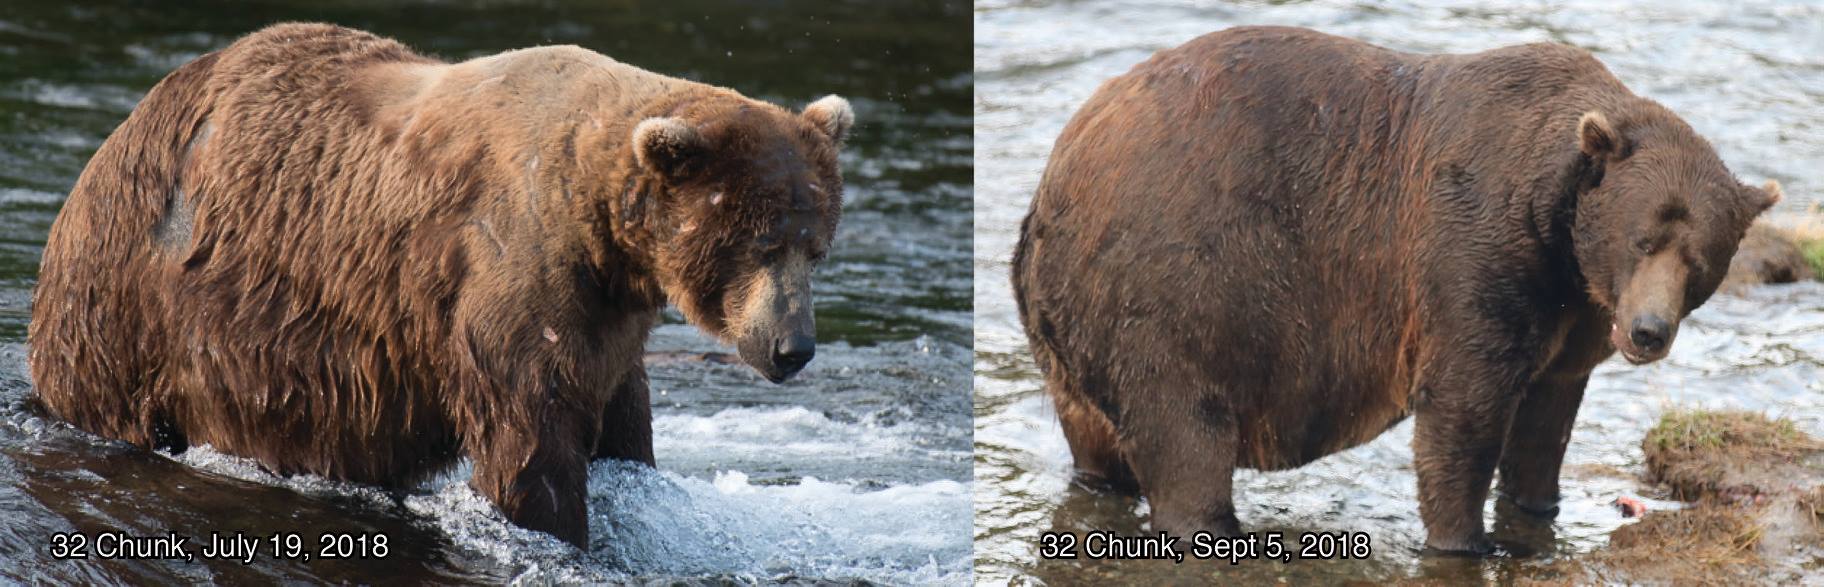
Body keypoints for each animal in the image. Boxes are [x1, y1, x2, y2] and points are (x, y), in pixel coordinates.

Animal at [26, 21, 853, 546]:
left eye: (816, 246)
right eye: (761, 243)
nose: (793, 346)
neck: (599, 227)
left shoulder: (608, 312)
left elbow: (621, 421)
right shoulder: (512, 272)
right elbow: (531, 439)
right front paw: (555, 524)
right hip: (132, 302)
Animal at [1014, 25, 1780, 554]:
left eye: (1700, 259)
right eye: (1642, 238)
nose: (1649, 331)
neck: (1559, 240)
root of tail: (1058, 171)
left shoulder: (1570, 320)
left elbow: (1546, 419)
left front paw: (1536, 509)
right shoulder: (1473, 258)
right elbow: (1464, 410)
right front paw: (1466, 539)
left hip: (1072, 333)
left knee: (1096, 438)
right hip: (1177, 288)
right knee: (1185, 433)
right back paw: (1212, 522)